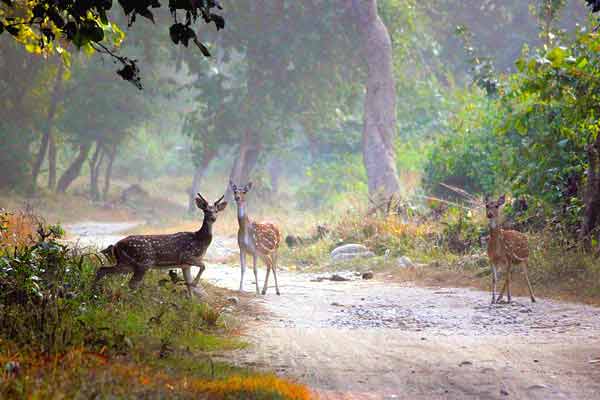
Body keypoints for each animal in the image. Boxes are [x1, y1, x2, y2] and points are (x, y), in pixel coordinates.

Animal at [94, 192, 227, 296]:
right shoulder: (186, 255)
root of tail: (116, 245)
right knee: (132, 284)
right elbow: (203, 266)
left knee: (103, 269)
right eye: (206, 210)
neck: (200, 240)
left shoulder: (185, 265)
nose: (213, 218)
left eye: (216, 211)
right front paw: (194, 283)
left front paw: (191, 300)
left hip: (126, 263)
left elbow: (189, 285)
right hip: (144, 262)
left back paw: (94, 292)